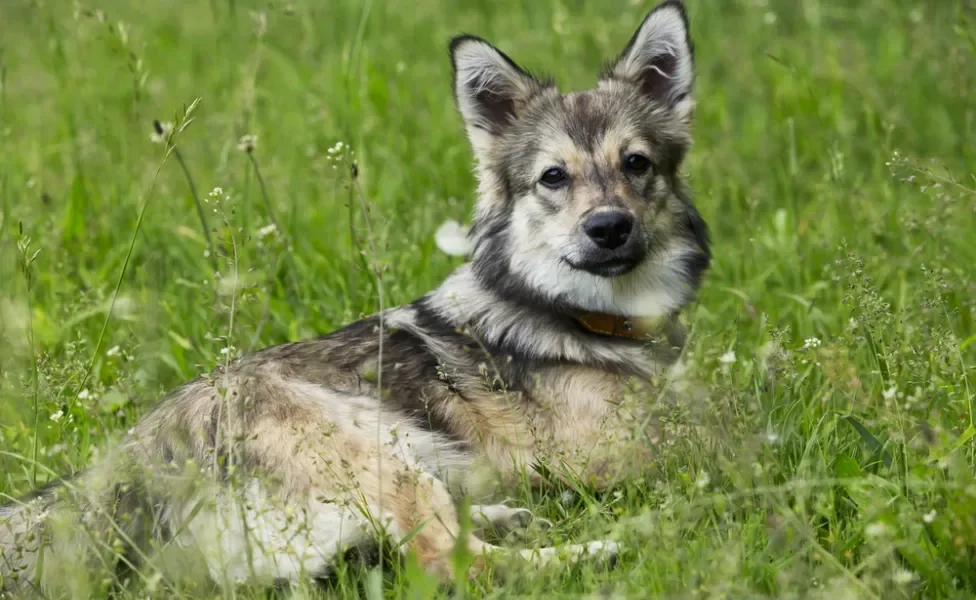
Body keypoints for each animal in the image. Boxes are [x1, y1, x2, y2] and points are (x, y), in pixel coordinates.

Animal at [3, 1, 712, 596]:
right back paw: (609, 544)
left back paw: (509, 516)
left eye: (637, 164)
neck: (586, 316)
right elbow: (721, 443)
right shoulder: (616, 453)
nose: (609, 227)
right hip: (376, 447)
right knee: (449, 562)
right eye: (554, 178)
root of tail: (119, 474)